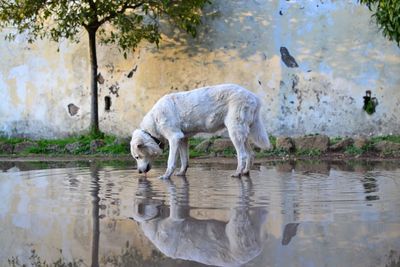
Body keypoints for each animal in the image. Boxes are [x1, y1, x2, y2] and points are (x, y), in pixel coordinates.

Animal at [130, 85, 270, 179]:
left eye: (137, 157)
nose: (139, 172)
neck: (155, 122)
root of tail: (254, 97)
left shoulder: (174, 138)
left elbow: (171, 161)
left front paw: (166, 176)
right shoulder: (183, 139)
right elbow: (185, 160)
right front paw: (181, 173)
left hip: (234, 132)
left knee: (243, 155)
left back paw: (237, 173)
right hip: (242, 133)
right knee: (251, 154)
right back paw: (245, 172)